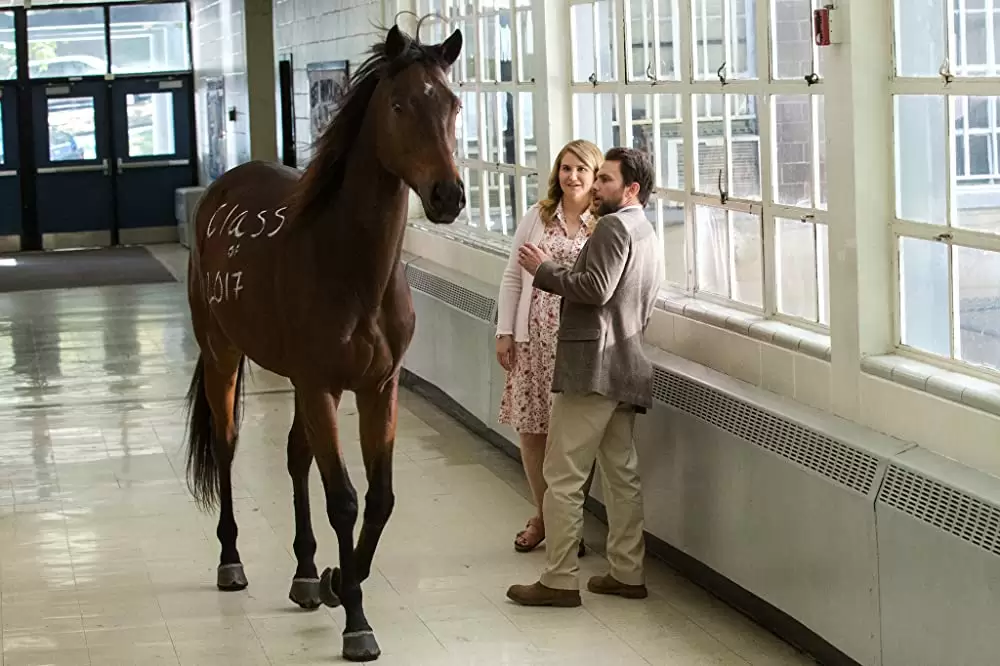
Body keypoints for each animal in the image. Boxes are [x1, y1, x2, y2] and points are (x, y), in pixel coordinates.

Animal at [183, 22, 464, 660]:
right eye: (399, 104)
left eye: (454, 103)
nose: (448, 195)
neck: (352, 266)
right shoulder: (321, 388)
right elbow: (344, 499)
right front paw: (356, 619)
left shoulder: (376, 389)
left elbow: (380, 499)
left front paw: (337, 579)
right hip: (223, 355)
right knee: (229, 446)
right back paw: (231, 560)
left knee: (294, 455)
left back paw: (307, 573)